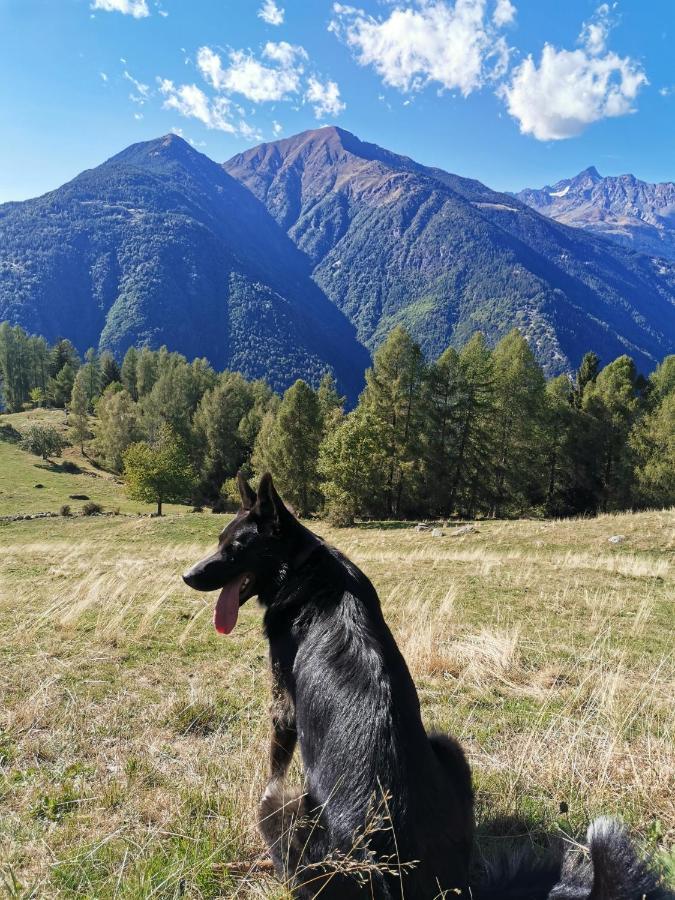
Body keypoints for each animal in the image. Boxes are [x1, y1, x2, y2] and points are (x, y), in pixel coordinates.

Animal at [184, 472, 672, 900]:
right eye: (220, 541)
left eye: (237, 547)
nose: (188, 576)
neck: (303, 566)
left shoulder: (283, 709)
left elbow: (273, 764)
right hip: (449, 748)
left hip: (284, 812)